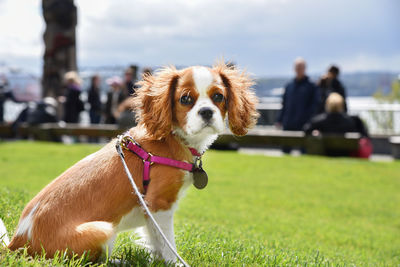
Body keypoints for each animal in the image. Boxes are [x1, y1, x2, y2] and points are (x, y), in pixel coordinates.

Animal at [0, 62, 258, 264]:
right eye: (185, 99)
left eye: (218, 97)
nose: (206, 112)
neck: (173, 138)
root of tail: (17, 242)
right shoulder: (159, 204)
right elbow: (168, 243)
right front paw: (172, 262)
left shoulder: (150, 210)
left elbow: (155, 240)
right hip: (102, 229)